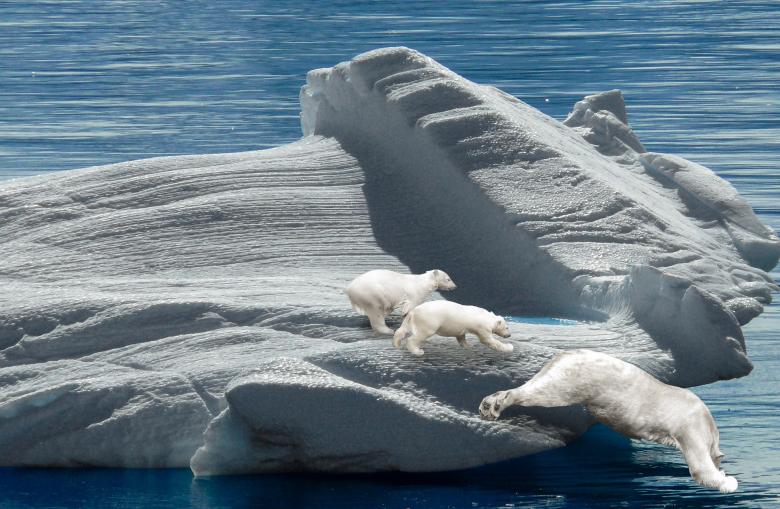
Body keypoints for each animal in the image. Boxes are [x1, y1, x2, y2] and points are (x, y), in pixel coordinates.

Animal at [479, 349, 738, 493]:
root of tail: (568, 354)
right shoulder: (690, 428)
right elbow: (701, 469)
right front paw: (728, 481)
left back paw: (487, 405)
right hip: (570, 384)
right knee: (537, 392)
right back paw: (496, 405)